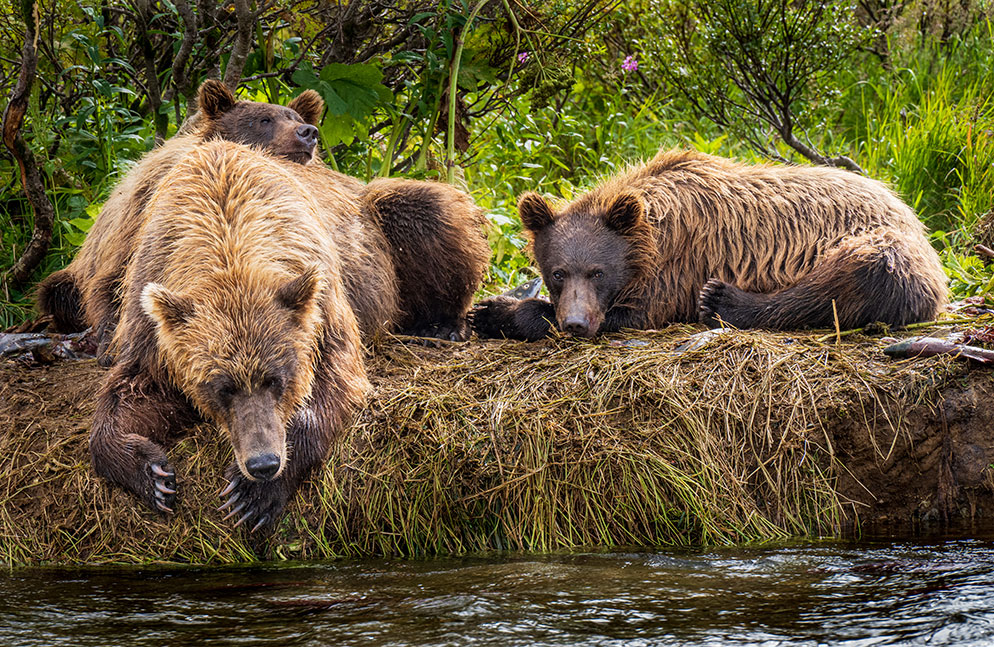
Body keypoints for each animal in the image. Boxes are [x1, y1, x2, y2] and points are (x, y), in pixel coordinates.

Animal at [37, 79, 488, 360]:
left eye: (295, 116)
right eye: (265, 118)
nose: (308, 132)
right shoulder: (138, 220)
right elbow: (117, 283)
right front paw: (110, 339)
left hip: (375, 214)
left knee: (426, 210)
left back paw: (444, 324)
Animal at [91, 142, 370, 532]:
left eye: (275, 379)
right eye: (223, 387)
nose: (263, 463)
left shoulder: (323, 311)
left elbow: (336, 382)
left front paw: (250, 496)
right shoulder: (153, 334)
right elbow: (130, 394)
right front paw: (154, 476)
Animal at [468, 147, 948, 340]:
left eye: (597, 272)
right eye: (557, 272)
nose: (575, 323)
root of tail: (904, 205)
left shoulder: (677, 267)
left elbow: (637, 313)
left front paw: (499, 312)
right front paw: (488, 307)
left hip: (870, 240)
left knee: (854, 277)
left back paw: (723, 301)